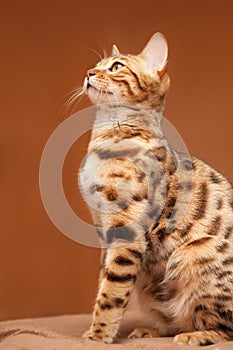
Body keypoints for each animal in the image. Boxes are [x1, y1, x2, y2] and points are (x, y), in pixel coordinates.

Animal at [78, 33, 233, 348]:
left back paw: (195, 334)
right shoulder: (103, 230)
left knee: (225, 328)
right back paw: (152, 330)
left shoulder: (126, 230)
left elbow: (112, 292)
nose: (88, 73)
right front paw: (96, 331)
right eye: (97, 64)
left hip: (193, 255)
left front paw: (98, 336)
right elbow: (104, 282)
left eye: (115, 66)